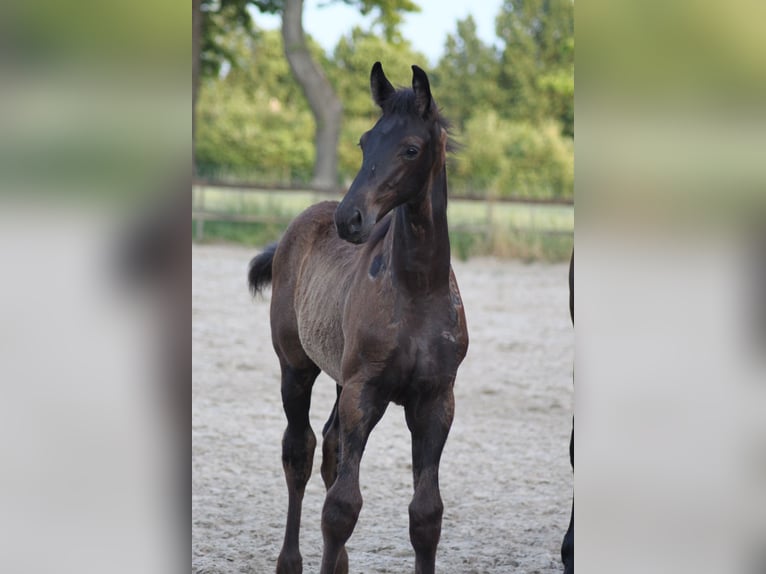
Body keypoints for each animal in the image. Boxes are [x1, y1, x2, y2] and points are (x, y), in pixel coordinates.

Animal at [250, 63, 468, 574]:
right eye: (365, 142)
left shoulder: (435, 400)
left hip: (337, 376)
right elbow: (342, 507)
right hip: (297, 368)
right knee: (301, 451)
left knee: (330, 446)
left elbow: (426, 514)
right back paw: (290, 561)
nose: (350, 219)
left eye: (410, 149)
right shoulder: (364, 390)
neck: (416, 289)